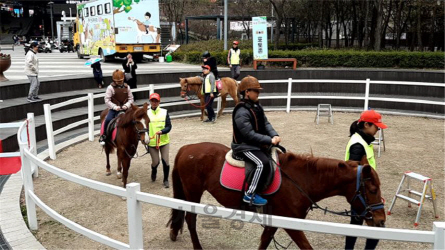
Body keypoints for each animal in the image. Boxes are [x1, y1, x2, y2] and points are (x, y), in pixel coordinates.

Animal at [168, 142, 384, 249]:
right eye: (373, 190)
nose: (380, 220)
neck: (300, 180)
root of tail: (187, 148)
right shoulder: (291, 225)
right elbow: (306, 247)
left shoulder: (275, 221)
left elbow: (264, 242)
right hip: (193, 192)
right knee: (190, 220)